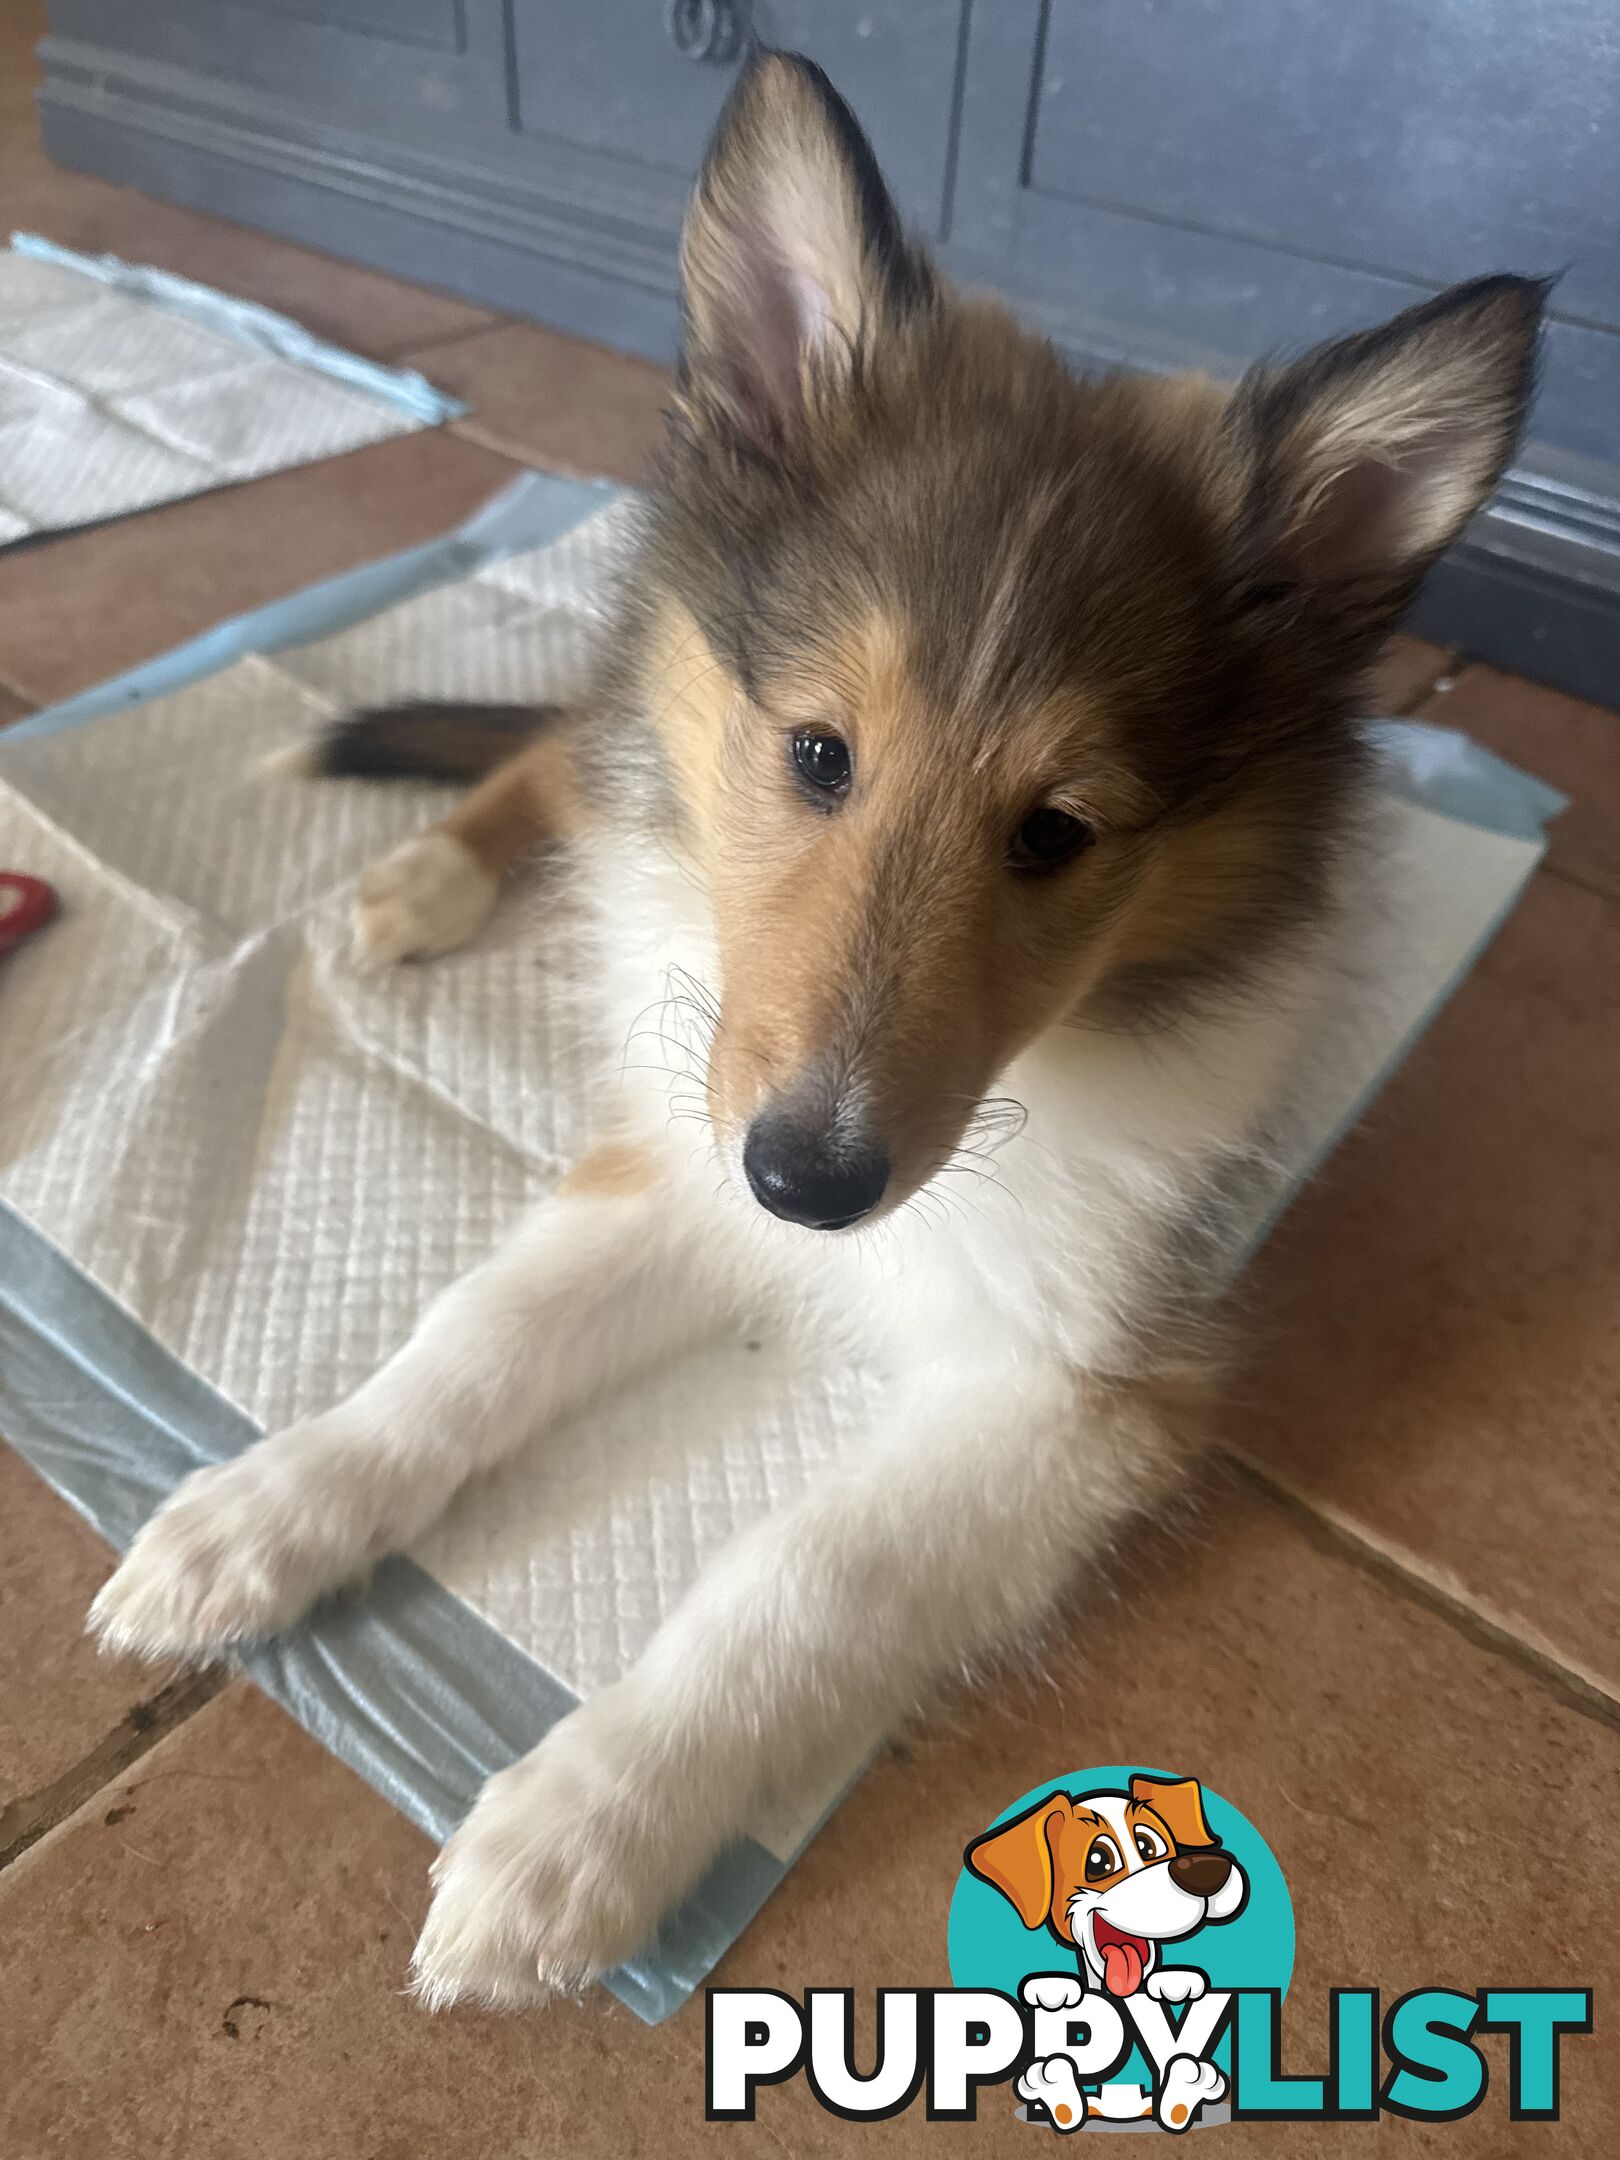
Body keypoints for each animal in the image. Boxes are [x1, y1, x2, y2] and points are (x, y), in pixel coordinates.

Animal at [88, 54, 1546, 2004]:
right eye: (814, 753)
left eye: (1060, 833)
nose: (813, 1187)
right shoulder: (683, 1144)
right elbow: (468, 1343)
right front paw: (254, 1518)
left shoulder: (1075, 1385)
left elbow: (802, 1576)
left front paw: (573, 1833)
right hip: (627, 722)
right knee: (559, 747)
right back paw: (418, 884)